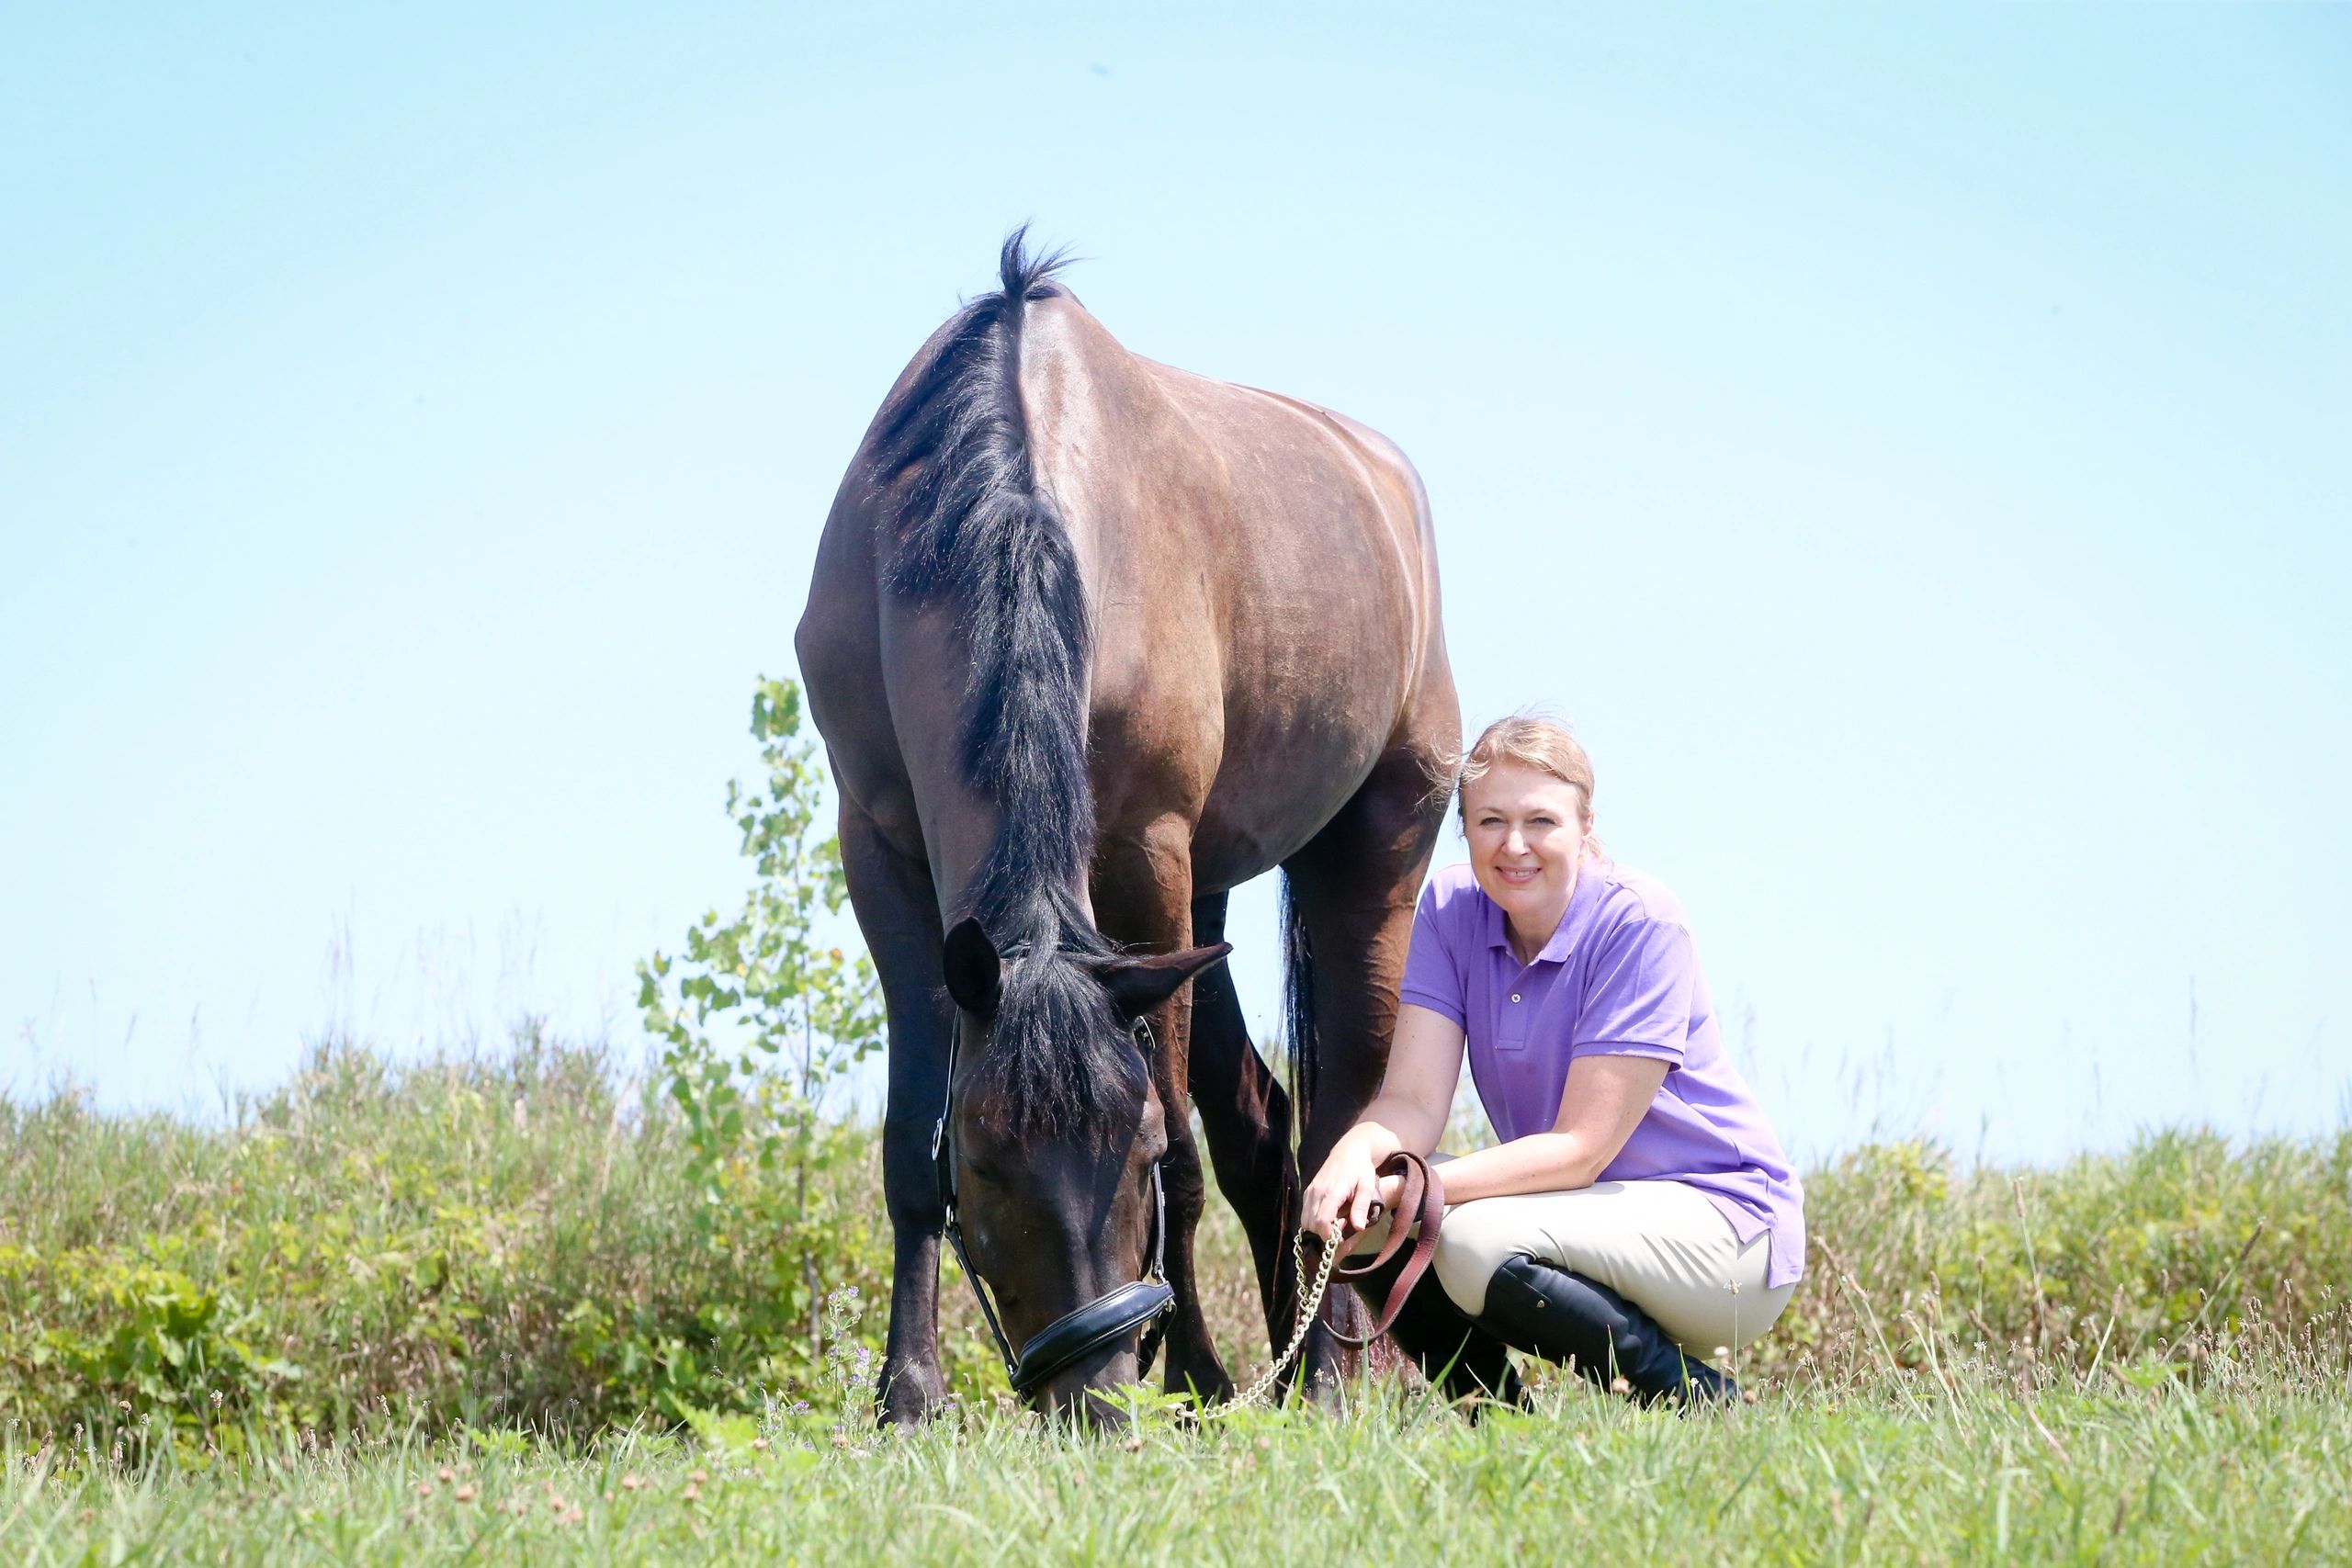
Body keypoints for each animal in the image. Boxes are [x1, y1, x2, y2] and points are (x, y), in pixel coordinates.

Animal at [795, 232, 1448, 1419]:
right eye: (984, 1163)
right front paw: (907, 1394)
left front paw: (1192, 1376)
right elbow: (906, 1140)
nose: (1093, 1395)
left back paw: (1323, 1376)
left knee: (1342, 1125)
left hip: (1370, 851)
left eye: (1131, 1154)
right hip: (1208, 901)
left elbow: (1188, 1149)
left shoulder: (1147, 853)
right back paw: (1287, 1368)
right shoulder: (879, 850)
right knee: (1262, 1129)